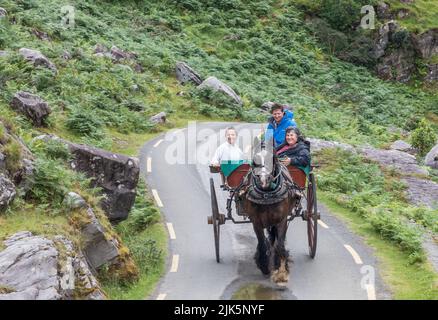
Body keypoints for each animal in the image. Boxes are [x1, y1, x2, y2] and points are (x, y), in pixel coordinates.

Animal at [238, 138, 300, 284]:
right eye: (254, 161)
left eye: (271, 159)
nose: (263, 181)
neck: (267, 194)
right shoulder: (256, 222)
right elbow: (262, 244)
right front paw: (264, 266)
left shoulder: (282, 220)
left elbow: (280, 245)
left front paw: (281, 272)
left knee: (275, 240)